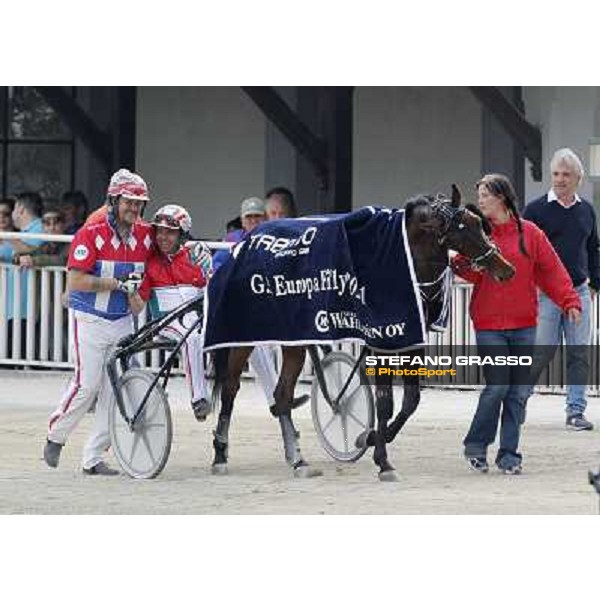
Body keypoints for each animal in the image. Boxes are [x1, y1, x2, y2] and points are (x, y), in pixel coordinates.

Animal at [209, 186, 512, 478]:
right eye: (462, 227)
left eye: (478, 222)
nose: (506, 268)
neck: (398, 262)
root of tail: (245, 243)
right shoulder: (381, 343)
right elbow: (385, 402)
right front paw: (383, 461)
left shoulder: (410, 341)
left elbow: (411, 401)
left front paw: (370, 437)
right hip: (245, 336)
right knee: (230, 389)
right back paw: (220, 455)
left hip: (294, 339)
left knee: (282, 395)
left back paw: (298, 460)